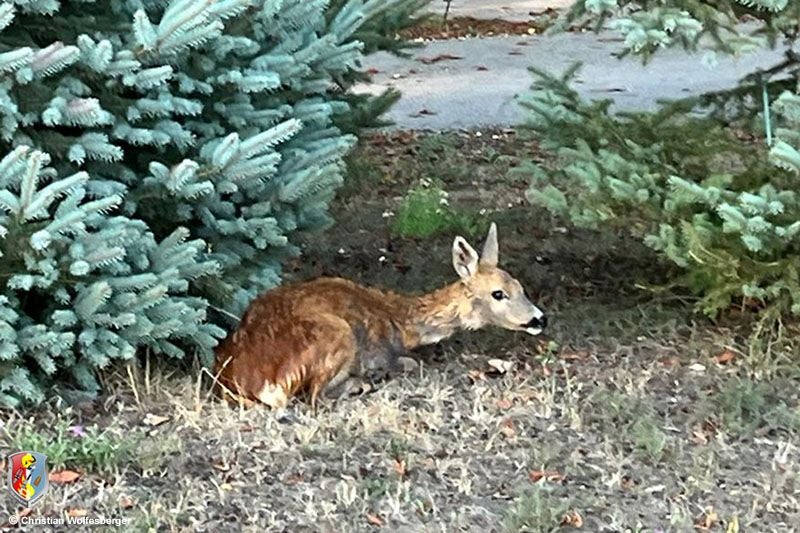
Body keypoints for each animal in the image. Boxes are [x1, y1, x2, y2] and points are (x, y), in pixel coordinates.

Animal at [212, 222, 547, 410]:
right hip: (337, 334)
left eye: (520, 287)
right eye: (498, 294)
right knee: (314, 398)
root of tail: (244, 382)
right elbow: (410, 363)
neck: (399, 321)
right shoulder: (376, 353)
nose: (540, 319)